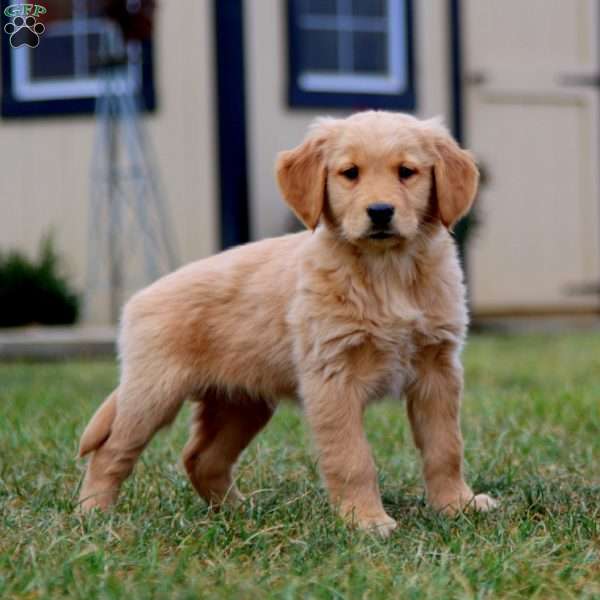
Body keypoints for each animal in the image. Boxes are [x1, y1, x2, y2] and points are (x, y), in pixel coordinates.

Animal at [78, 110, 496, 536]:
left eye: (407, 172)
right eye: (350, 173)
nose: (380, 211)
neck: (386, 273)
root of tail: (138, 299)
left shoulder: (437, 370)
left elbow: (446, 447)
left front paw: (457, 504)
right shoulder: (332, 377)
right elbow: (352, 458)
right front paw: (365, 520)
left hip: (241, 403)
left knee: (201, 458)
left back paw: (238, 512)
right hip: (153, 394)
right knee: (111, 450)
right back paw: (92, 514)